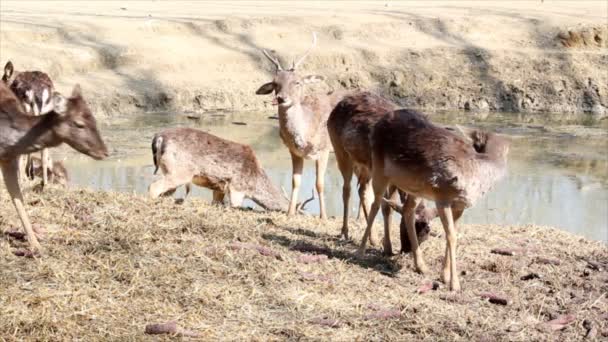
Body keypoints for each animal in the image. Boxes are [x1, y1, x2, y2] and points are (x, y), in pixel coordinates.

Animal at [0, 82, 108, 254]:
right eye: (79, 124)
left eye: (94, 119)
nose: (104, 152)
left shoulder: (9, 159)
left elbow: (18, 198)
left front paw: (36, 245)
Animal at [148, 126, 288, 210]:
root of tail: (159, 138)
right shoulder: (237, 187)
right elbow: (234, 206)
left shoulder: (220, 188)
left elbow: (216, 202)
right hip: (180, 172)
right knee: (153, 187)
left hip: (167, 169)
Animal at [254, 32, 344, 219]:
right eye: (275, 83)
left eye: (297, 82)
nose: (281, 98)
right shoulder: (294, 152)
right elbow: (295, 181)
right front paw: (290, 214)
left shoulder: (324, 149)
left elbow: (319, 183)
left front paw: (323, 216)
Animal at [328, 91, 436, 254]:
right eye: (405, 225)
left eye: (427, 230)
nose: (406, 249)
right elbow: (386, 207)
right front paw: (388, 247)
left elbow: (389, 207)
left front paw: (385, 244)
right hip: (339, 149)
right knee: (347, 189)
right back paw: (344, 232)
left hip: (366, 166)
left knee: (362, 190)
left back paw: (372, 238)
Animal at [358, 109, 510, 292]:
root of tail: (379, 123)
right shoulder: (442, 197)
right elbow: (451, 236)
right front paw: (455, 284)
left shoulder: (460, 205)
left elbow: (453, 234)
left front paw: (444, 276)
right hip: (379, 168)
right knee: (376, 203)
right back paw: (360, 251)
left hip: (415, 187)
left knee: (407, 210)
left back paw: (421, 266)